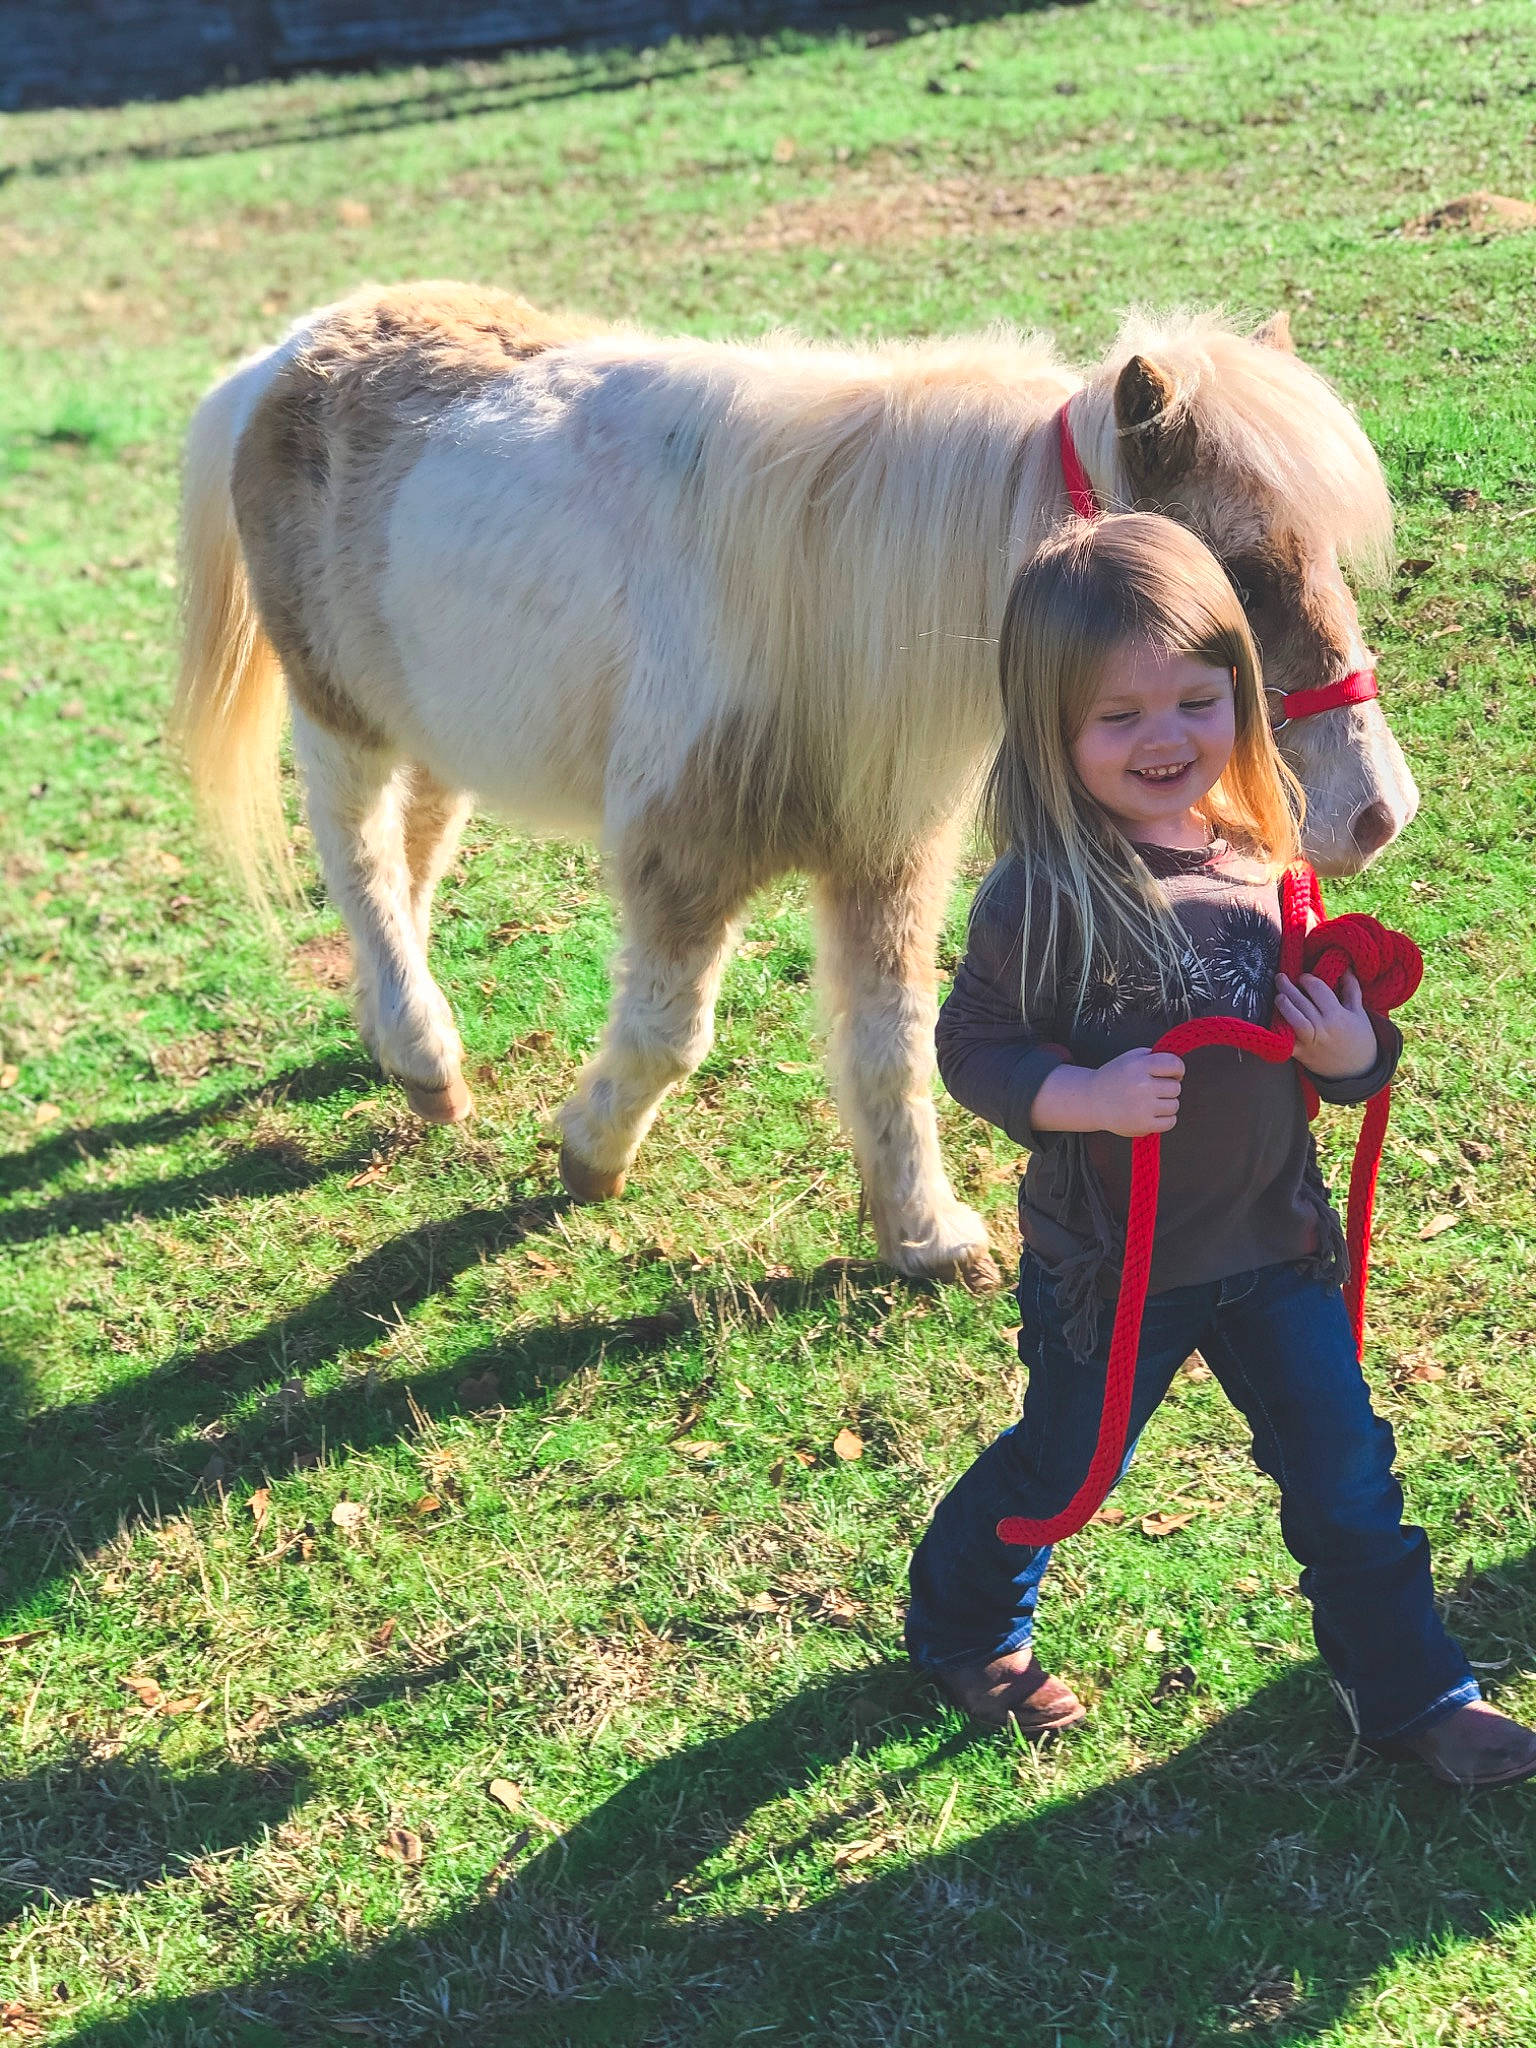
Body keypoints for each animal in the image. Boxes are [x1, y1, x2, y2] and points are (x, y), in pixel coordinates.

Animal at [173, 284, 1416, 1294]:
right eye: (1234, 570)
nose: (1377, 811)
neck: (834, 597)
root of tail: (287, 354)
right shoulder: (682, 857)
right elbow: (672, 1035)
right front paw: (588, 1156)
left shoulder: (883, 854)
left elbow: (895, 1040)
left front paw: (924, 1234)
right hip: (342, 717)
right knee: (357, 854)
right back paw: (426, 1055)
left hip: (443, 726)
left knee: (412, 853)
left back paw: (391, 1031)